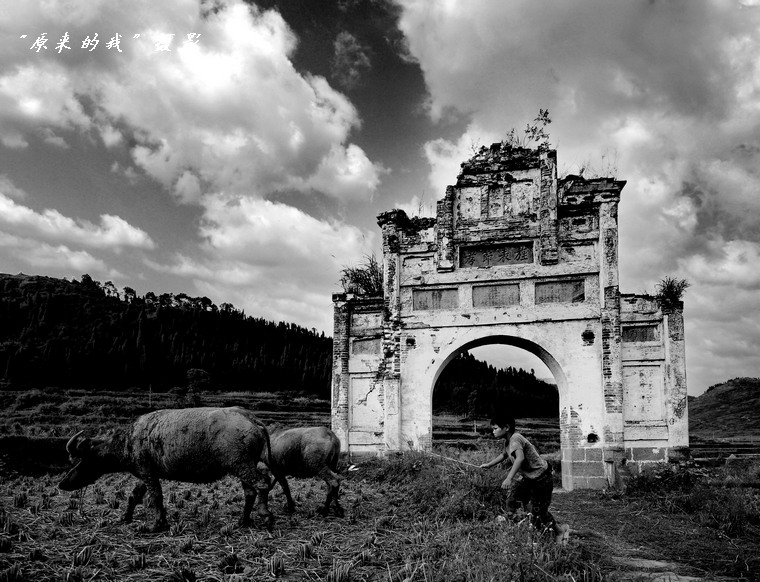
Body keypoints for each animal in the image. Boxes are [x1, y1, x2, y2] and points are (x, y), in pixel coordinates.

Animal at [60, 408, 274, 532]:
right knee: (251, 491)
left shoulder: (147, 473)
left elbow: (156, 497)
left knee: (263, 482)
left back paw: (265, 515)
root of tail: (253, 420)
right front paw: (125, 517)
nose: (62, 483)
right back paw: (243, 521)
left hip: (241, 465)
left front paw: (156, 524)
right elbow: (134, 496)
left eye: (84, 460)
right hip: (243, 466)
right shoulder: (145, 474)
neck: (129, 443)